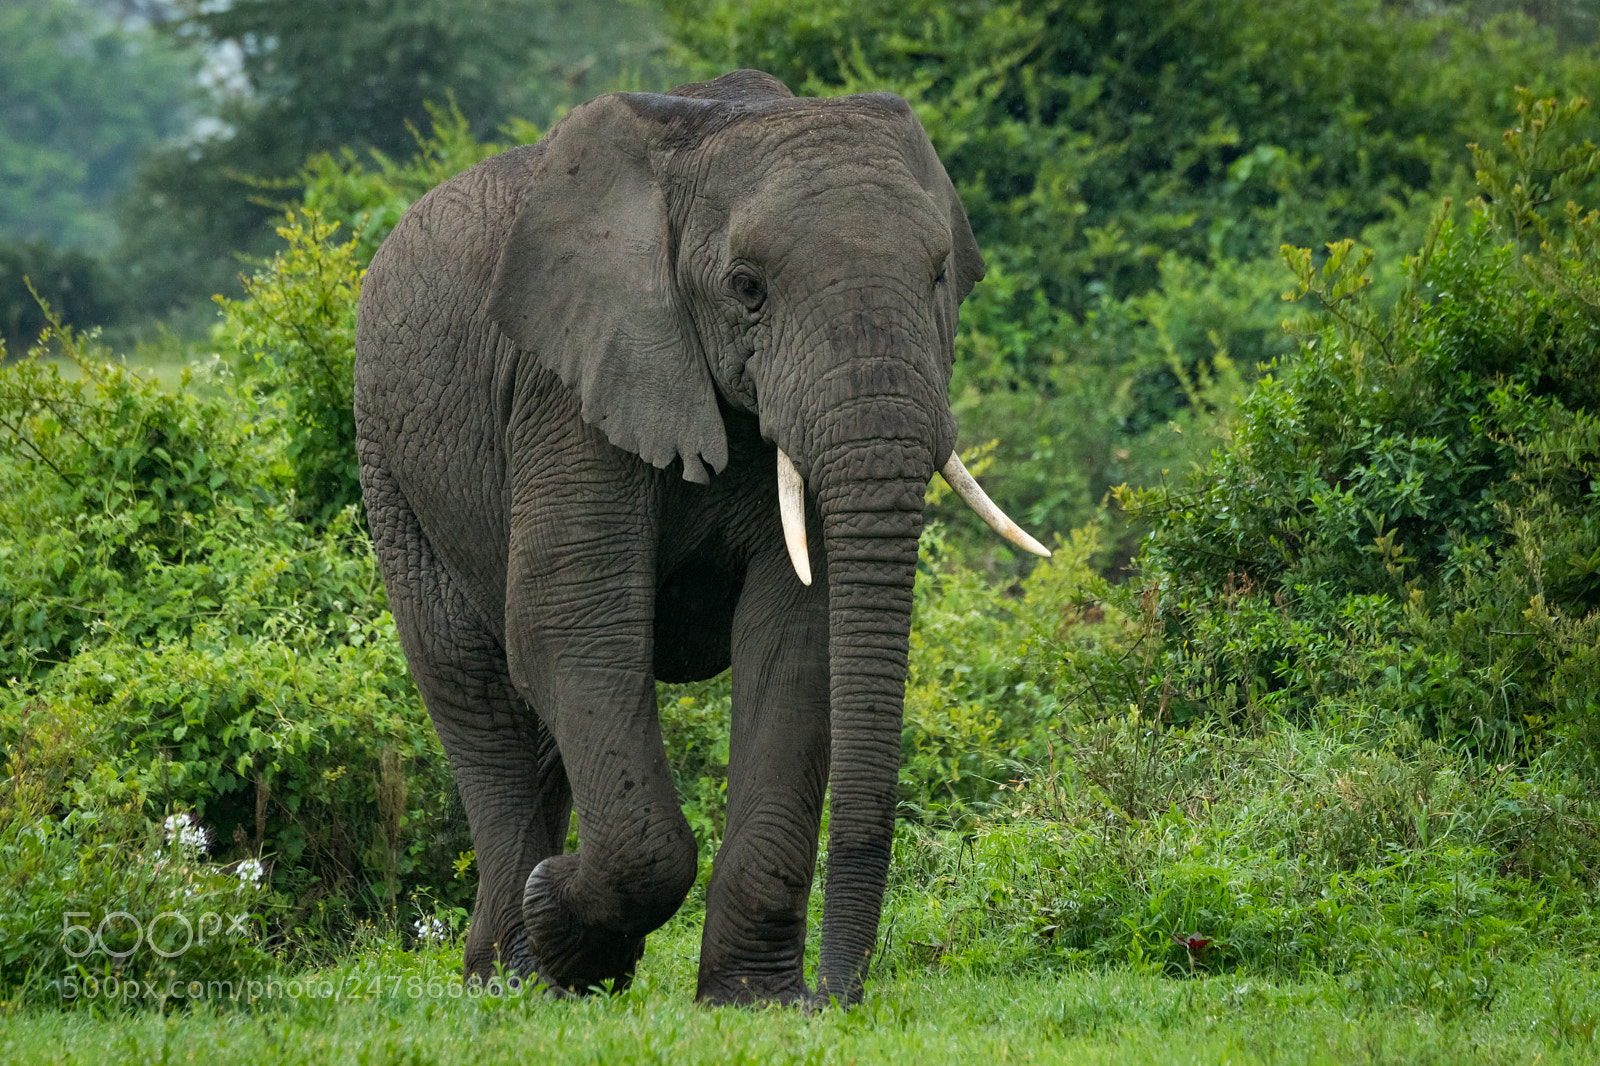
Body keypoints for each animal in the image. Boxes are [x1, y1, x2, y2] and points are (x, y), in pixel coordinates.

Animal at [353, 68, 1048, 1007]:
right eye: (747, 287)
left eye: (941, 276)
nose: (835, 996)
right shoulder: (567, 385)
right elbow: (574, 629)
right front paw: (568, 928)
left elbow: (794, 640)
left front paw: (750, 1000)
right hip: (388, 463)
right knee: (476, 685)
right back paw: (514, 978)